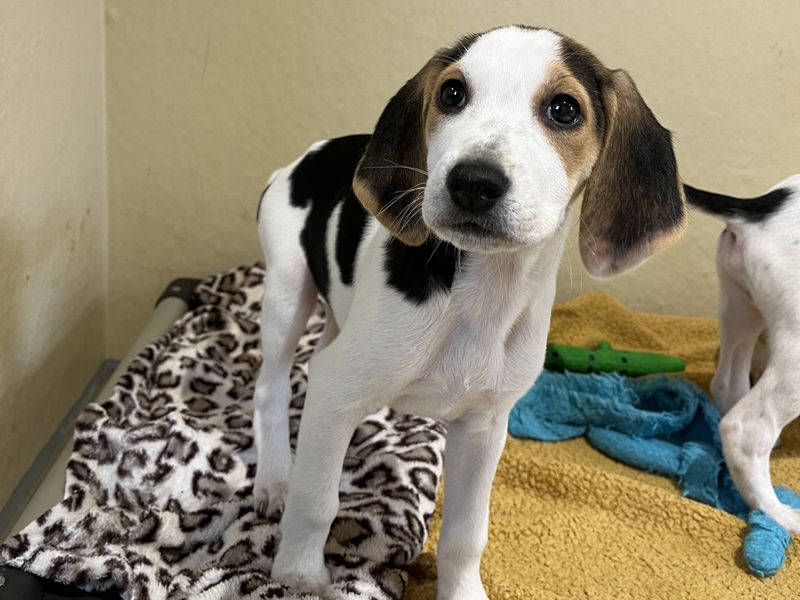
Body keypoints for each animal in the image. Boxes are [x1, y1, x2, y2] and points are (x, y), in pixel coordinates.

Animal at [254, 25, 687, 599]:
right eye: (452, 94)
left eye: (564, 109)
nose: (473, 182)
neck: (482, 296)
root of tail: (307, 154)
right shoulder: (336, 389)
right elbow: (316, 502)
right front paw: (300, 575)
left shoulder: (484, 428)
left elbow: (465, 535)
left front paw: (462, 591)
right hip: (287, 291)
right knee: (272, 388)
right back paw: (275, 479)